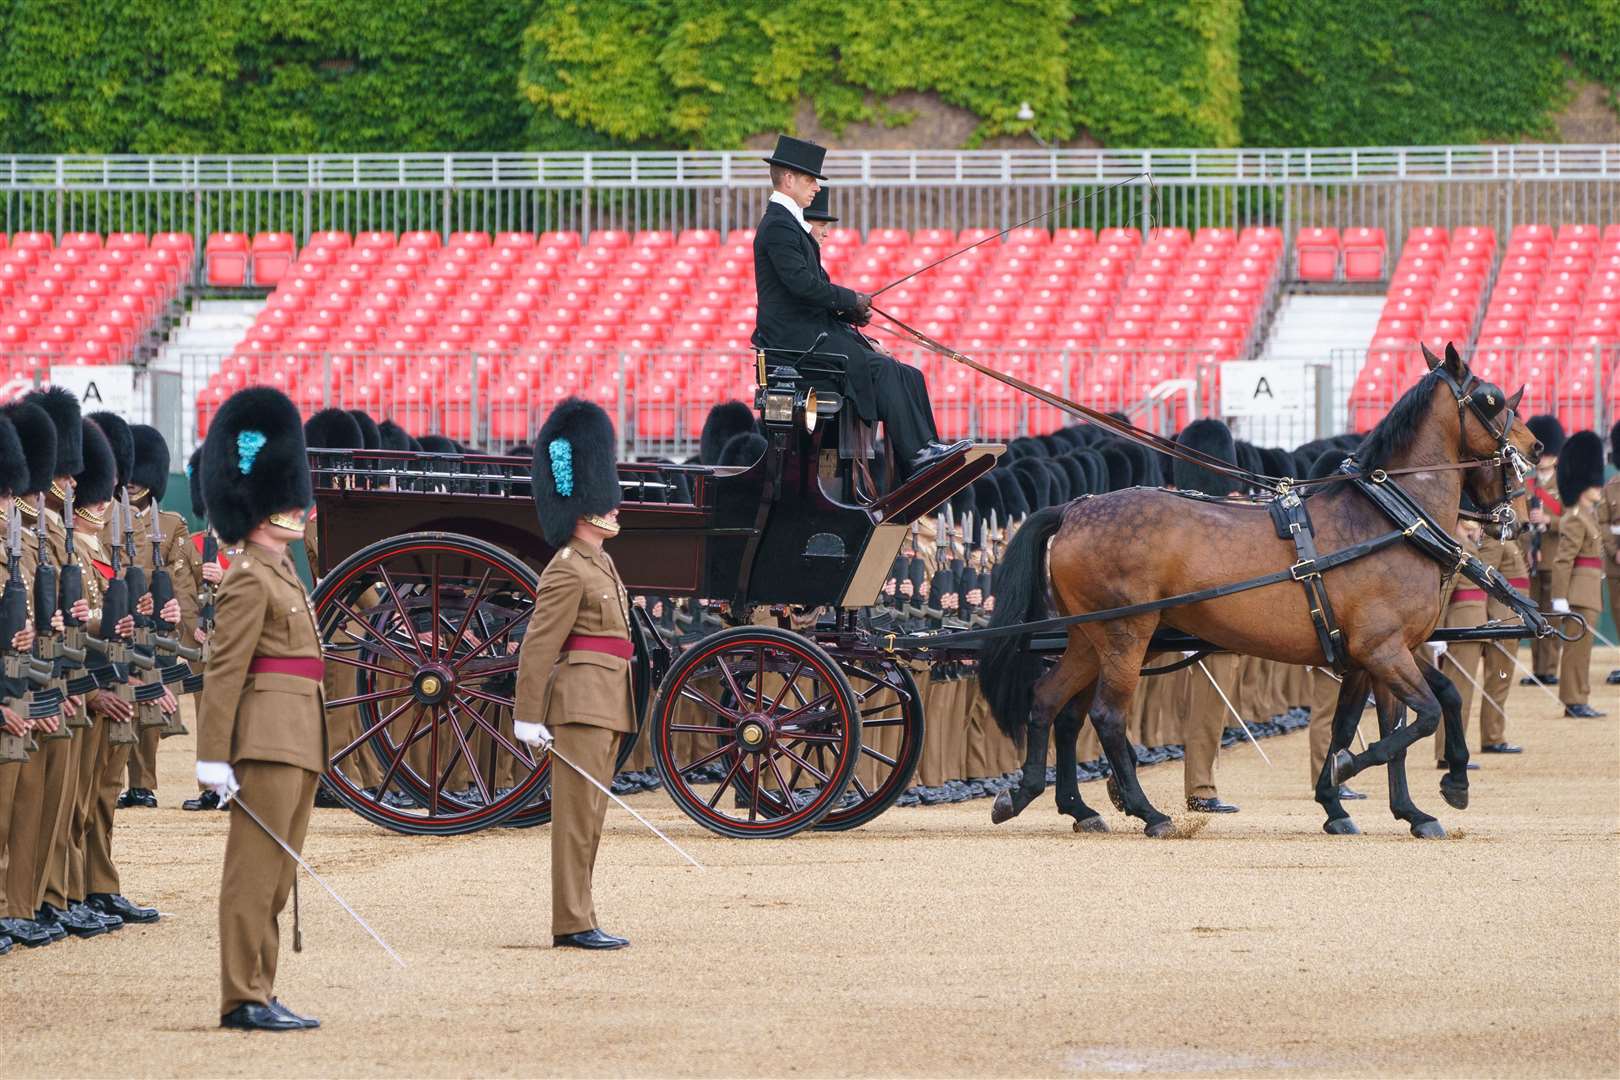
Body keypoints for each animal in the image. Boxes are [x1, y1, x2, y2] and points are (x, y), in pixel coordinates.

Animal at [978, 344, 1535, 835]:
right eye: (1491, 398)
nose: (1534, 450)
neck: (1389, 519)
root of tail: (1074, 508)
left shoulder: (1373, 655)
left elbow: (1404, 714)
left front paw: (1397, 802)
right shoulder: (1384, 650)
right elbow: (1418, 719)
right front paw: (1355, 776)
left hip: (1091, 639)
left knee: (1052, 704)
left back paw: (1046, 800)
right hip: (1125, 637)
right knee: (1106, 717)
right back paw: (1147, 813)